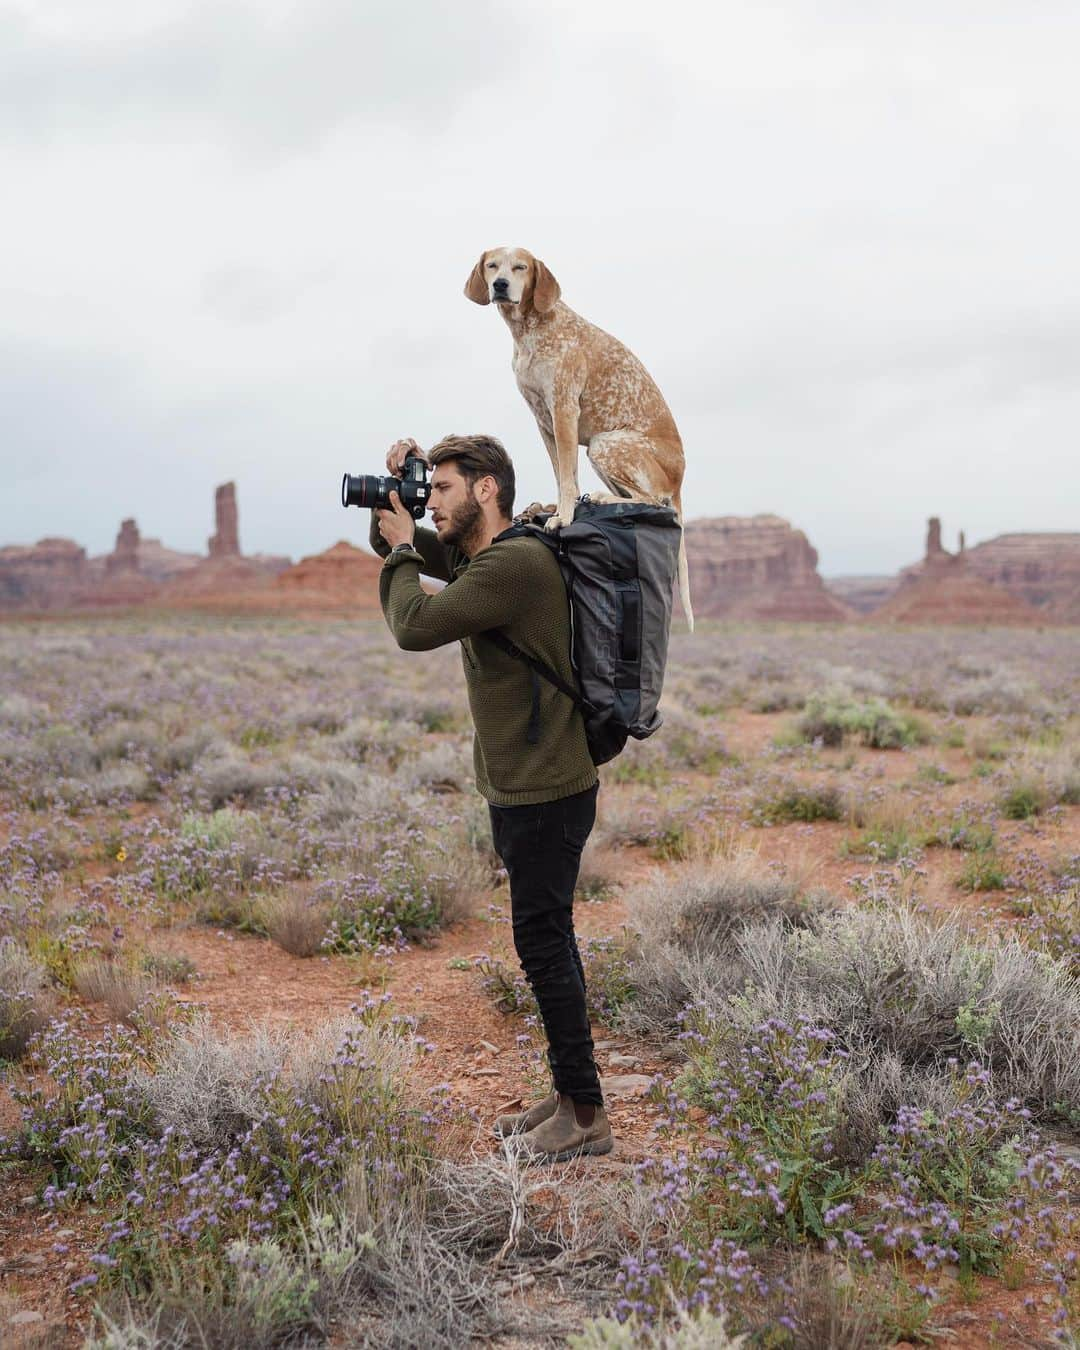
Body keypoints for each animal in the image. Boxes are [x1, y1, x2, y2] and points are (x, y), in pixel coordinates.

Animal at [464, 247, 691, 626]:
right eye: (492, 265)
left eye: (520, 267)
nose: (500, 285)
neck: (529, 330)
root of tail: (680, 479)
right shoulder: (543, 419)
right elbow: (563, 475)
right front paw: (556, 509)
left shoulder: (564, 410)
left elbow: (569, 479)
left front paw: (564, 516)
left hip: (606, 444)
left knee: (653, 500)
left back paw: (600, 498)